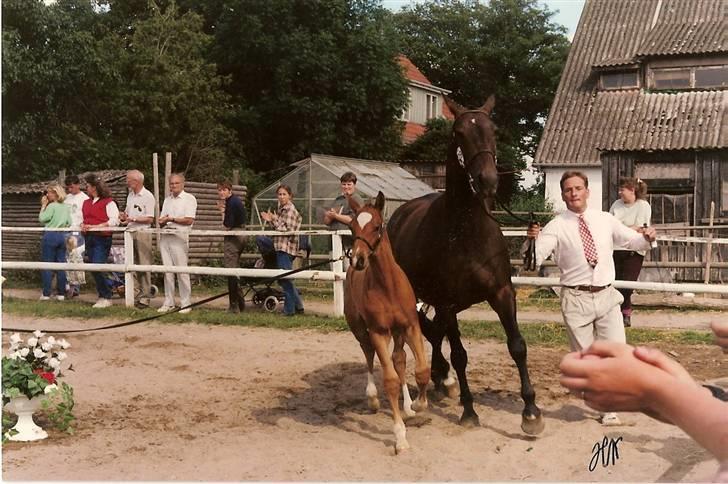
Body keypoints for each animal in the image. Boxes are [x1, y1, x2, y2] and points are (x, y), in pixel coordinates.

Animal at [344, 190, 430, 454]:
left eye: (377, 226)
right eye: (351, 227)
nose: (358, 260)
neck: (387, 287)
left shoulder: (411, 327)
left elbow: (421, 370)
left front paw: (419, 405)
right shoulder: (379, 332)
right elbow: (390, 380)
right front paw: (400, 437)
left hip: (399, 333)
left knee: (399, 360)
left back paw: (409, 406)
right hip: (361, 330)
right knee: (369, 354)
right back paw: (372, 397)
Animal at [390, 95, 544, 434]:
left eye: (492, 129)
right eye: (458, 132)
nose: (487, 180)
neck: (468, 231)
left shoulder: (501, 293)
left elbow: (517, 345)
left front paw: (531, 412)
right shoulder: (447, 303)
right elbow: (460, 354)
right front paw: (470, 411)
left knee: (435, 333)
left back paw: (443, 379)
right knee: (433, 334)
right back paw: (444, 380)